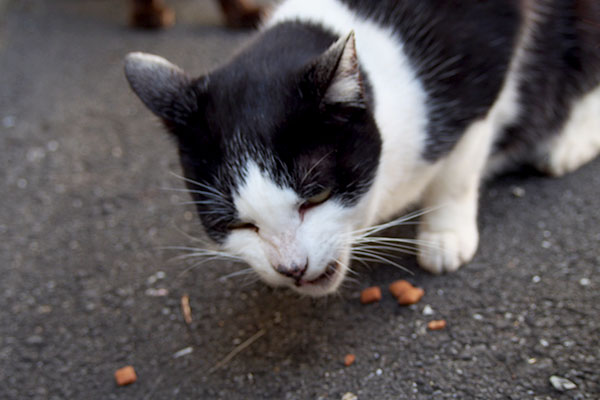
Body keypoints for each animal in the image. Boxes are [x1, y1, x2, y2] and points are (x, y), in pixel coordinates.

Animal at [125, 0, 600, 296]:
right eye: (236, 224)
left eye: (316, 195)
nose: (290, 268)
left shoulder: (488, 60)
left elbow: (459, 168)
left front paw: (445, 235)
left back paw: (568, 142)